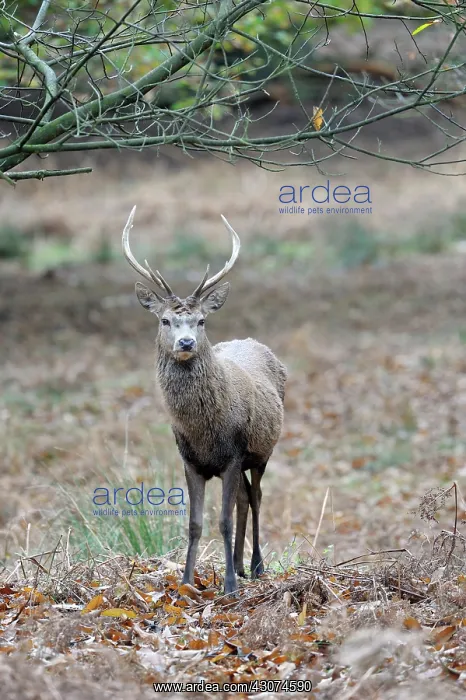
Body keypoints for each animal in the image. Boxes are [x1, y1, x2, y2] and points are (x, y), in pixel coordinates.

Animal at [122, 207, 287, 594]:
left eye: (201, 320)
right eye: (165, 320)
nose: (186, 342)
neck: (204, 432)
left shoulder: (234, 453)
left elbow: (222, 521)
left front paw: (228, 585)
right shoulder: (190, 460)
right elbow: (195, 523)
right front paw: (186, 581)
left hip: (262, 451)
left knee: (256, 497)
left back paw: (255, 566)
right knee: (244, 498)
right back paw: (240, 564)